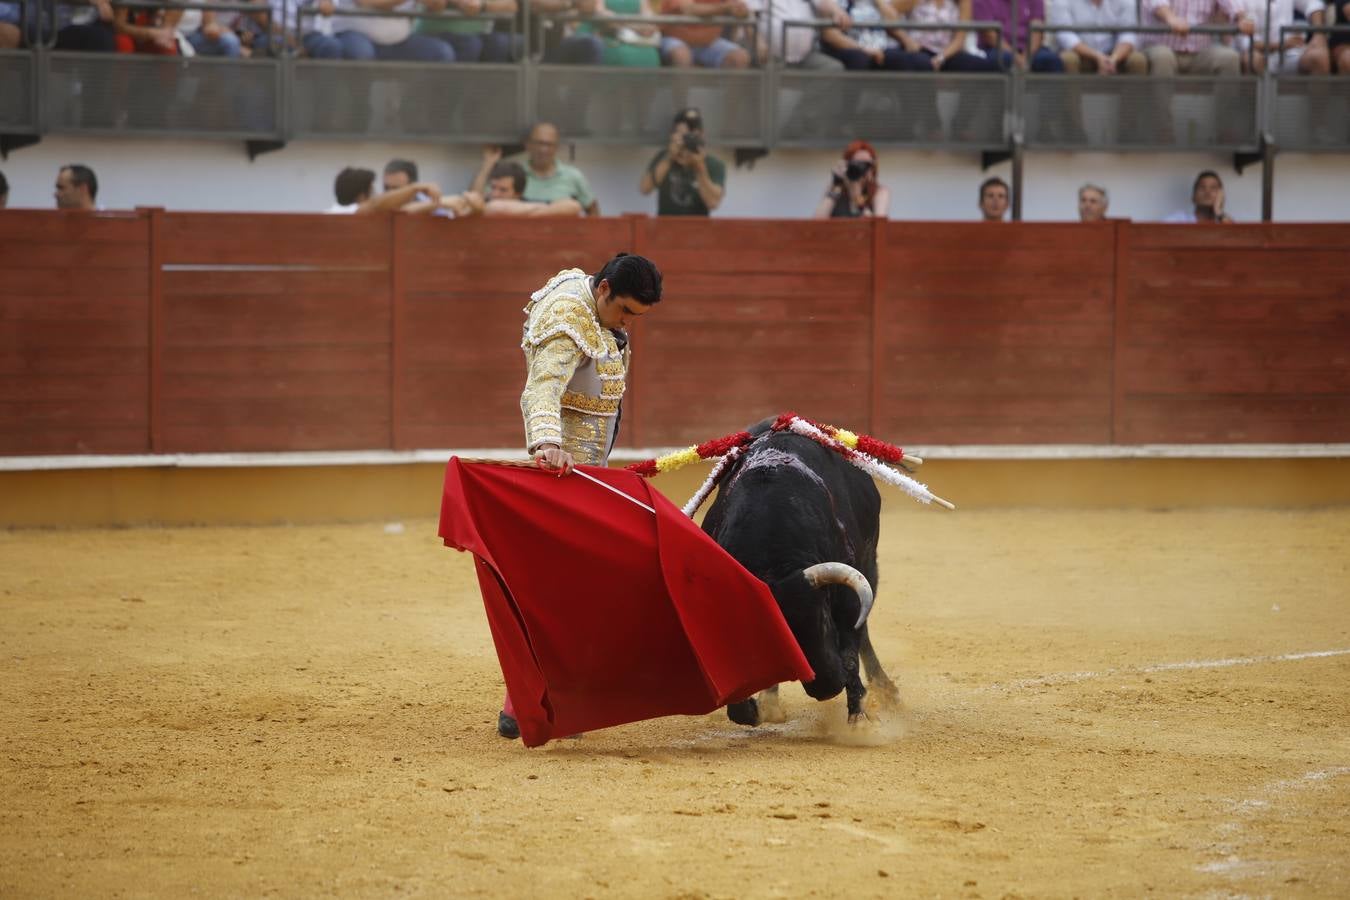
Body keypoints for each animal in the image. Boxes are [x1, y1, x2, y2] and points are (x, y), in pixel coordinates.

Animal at [702, 420, 901, 723]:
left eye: (823, 619)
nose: (827, 688)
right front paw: (758, 707)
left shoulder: (847, 593)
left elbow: (850, 652)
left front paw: (859, 719)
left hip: (870, 565)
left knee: (863, 632)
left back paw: (886, 690)